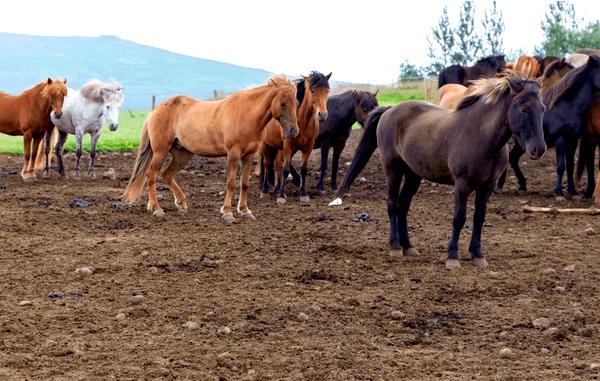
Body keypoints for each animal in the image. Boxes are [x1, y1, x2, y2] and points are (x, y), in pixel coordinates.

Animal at [122, 75, 300, 223]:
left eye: (297, 103)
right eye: (283, 103)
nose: (293, 132)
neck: (245, 115)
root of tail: (154, 112)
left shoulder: (249, 156)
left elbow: (244, 184)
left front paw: (245, 211)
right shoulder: (233, 154)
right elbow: (230, 183)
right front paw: (227, 213)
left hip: (183, 154)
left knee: (167, 174)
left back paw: (180, 203)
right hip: (160, 151)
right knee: (151, 175)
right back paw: (157, 209)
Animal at [258, 70, 330, 202]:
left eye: (327, 90)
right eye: (312, 90)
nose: (322, 115)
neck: (303, 122)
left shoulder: (308, 147)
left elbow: (304, 169)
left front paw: (303, 193)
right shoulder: (288, 145)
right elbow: (286, 169)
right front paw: (281, 196)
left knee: (276, 165)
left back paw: (276, 188)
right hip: (266, 146)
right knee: (266, 165)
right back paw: (265, 190)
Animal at [356, 73, 548, 268]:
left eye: (543, 108)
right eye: (524, 109)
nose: (539, 149)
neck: (481, 137)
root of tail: (389, 110)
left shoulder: (487, 186)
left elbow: (479, 218)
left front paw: (478, 255)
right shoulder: (462, 185)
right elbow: (459, 219)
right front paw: (452, 257)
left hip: (413, 175)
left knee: (403, 206)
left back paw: (408, 246)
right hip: (393, 169)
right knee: (392, 204)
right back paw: (395, 246)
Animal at [502, 55, 600, 197]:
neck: (567, 107)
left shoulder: (573, 141)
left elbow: (570, 166)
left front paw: (572, 191)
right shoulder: (561, 140)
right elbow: (560, 167)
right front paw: (559, 192)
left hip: (522, 144)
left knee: (513, 158)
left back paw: (521, 185)